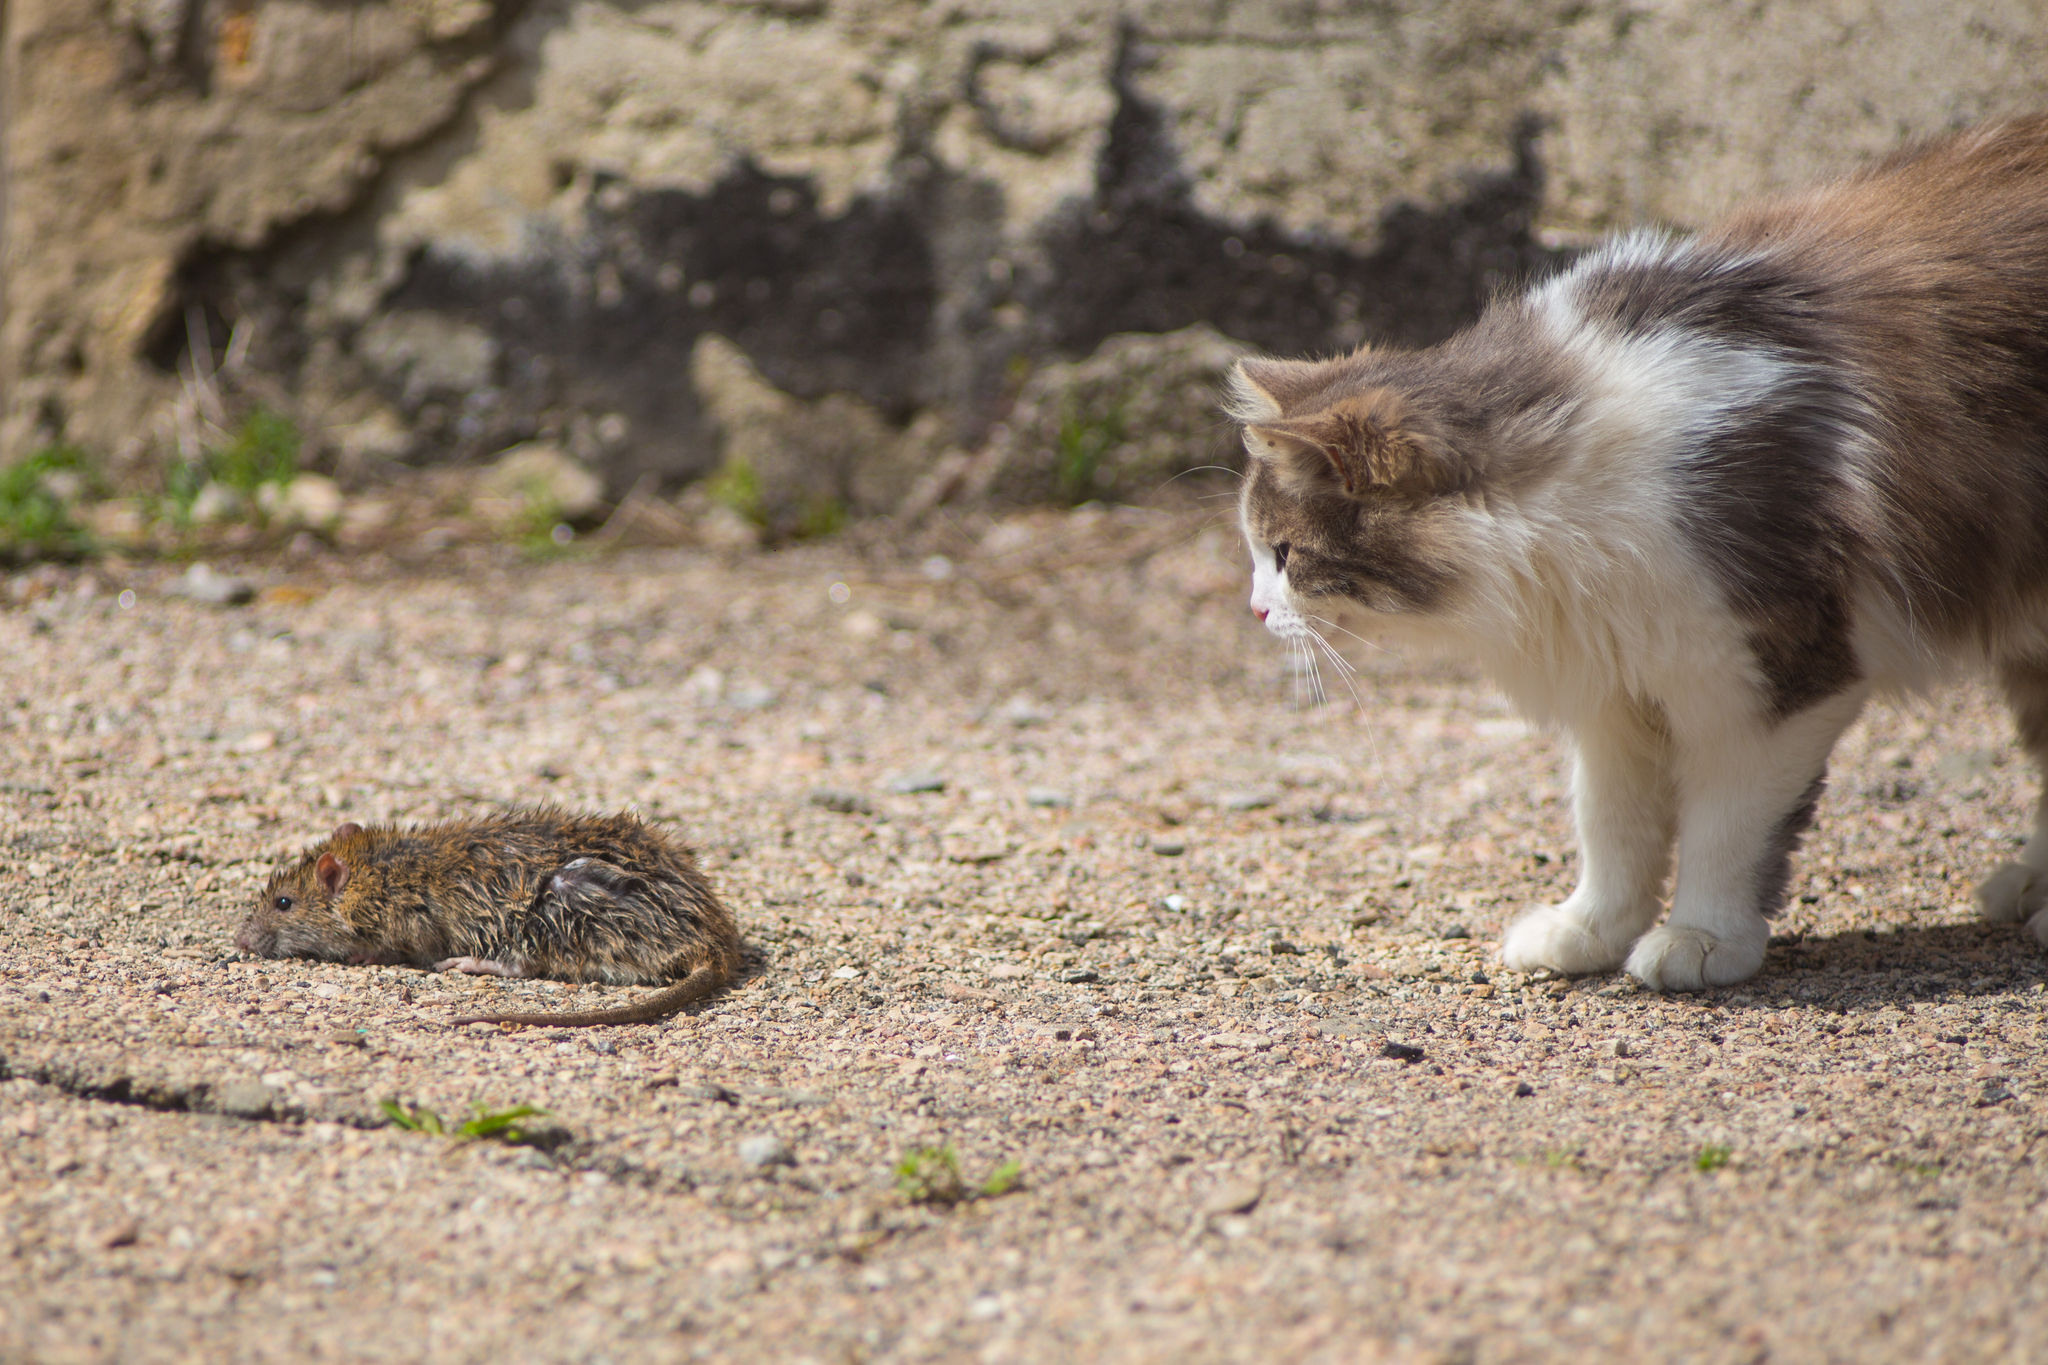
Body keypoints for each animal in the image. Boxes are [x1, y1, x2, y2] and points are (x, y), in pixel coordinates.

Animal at [1220, 114, 2048, 994]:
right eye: (1258, 552)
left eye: (1285, 553)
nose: (1256, 609)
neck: (1571, 494)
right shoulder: (1617, 682)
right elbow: (1613, 825)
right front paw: (1589, 928)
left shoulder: (1769, 678)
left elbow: (1725, 827)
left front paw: (1703, 936)